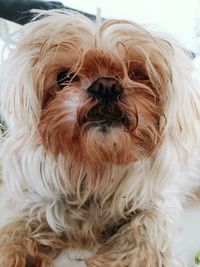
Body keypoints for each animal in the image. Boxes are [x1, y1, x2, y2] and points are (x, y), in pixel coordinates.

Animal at [0, 9, 200, 267]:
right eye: (65, 77)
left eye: (138, 75)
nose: (106, 85)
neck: (97, 166)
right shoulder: (42, 201)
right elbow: (22, 227)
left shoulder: (155, 204)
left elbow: (142, 235)